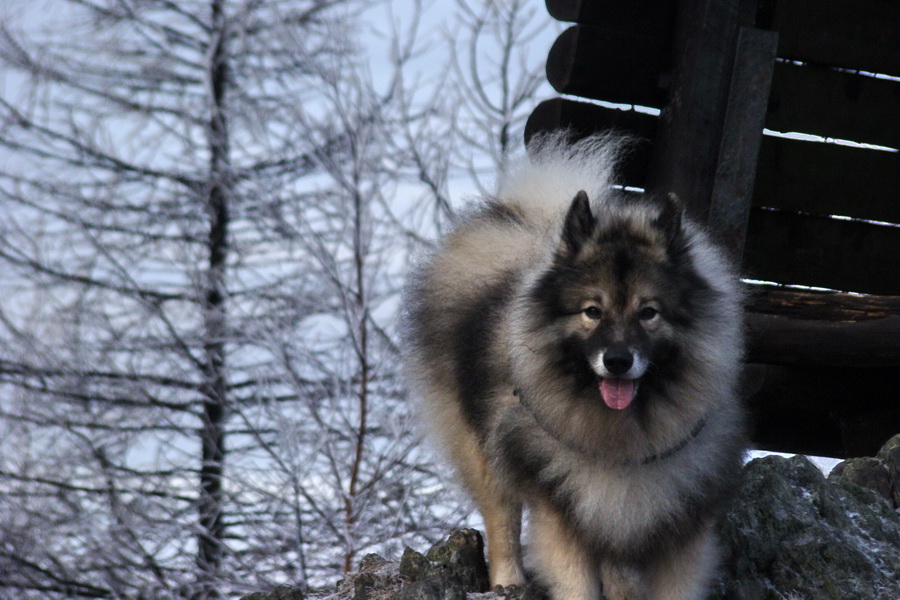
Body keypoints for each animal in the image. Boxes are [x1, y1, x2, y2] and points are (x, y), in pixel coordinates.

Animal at [402, 136, 744, 600]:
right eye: (592, 311)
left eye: (649, 312)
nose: (617, 361)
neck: (622, 441)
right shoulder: (562, 515)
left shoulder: (679, 529)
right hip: (484, 448)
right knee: (502, 521)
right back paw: (509, 581)